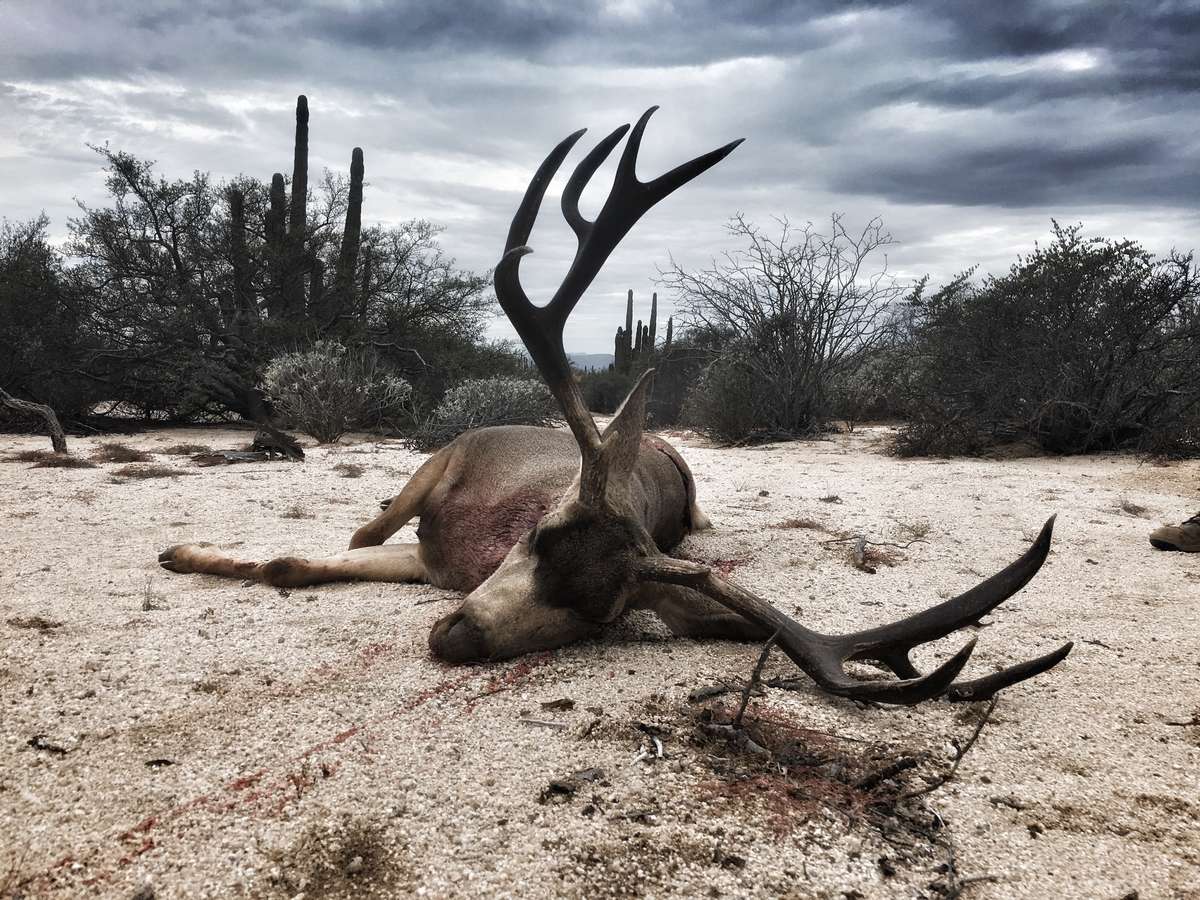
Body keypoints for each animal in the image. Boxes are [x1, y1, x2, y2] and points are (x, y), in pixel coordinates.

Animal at [157, 109, 1070, 705]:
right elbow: (304, 557)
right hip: (435, 460)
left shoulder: (441, 569)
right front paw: (181, 553)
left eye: (597, 615)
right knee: (361, 525)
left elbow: (295, 563)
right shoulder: (438, 520)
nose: (457, 636)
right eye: (538, 538)